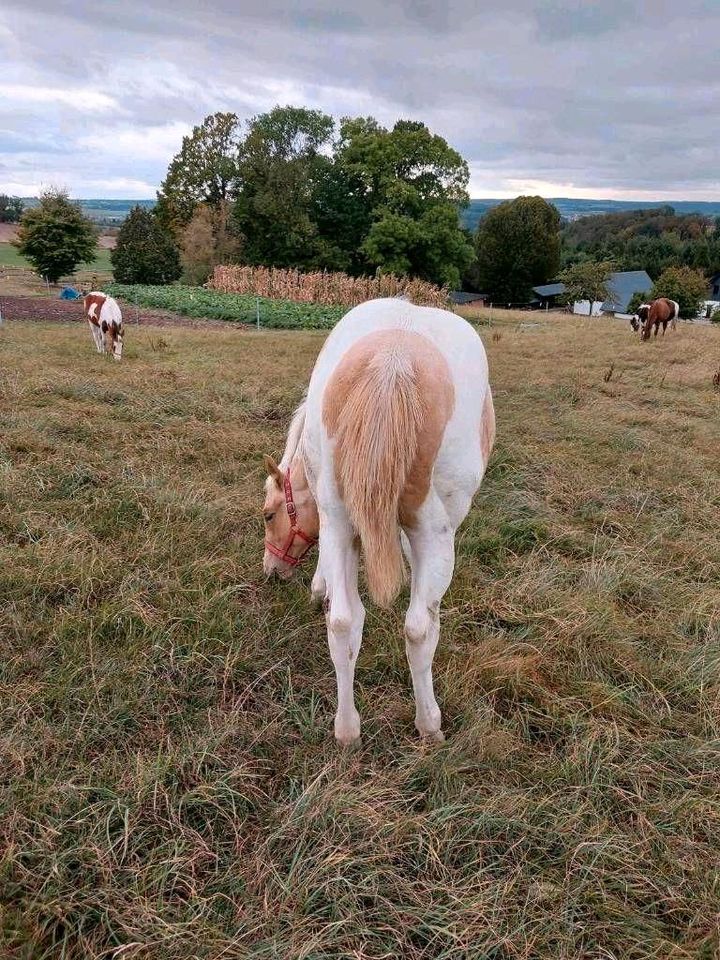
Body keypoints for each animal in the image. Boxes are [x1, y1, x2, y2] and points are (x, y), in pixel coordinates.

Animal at [262, 296, 496, 748]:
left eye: (268, 514)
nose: (272, 570)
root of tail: (394, 359)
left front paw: (319, 589)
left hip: (341, 518)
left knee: (344, 623)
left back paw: (347, 730)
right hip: (435, 533)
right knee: (420, 629)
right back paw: (429, 724)